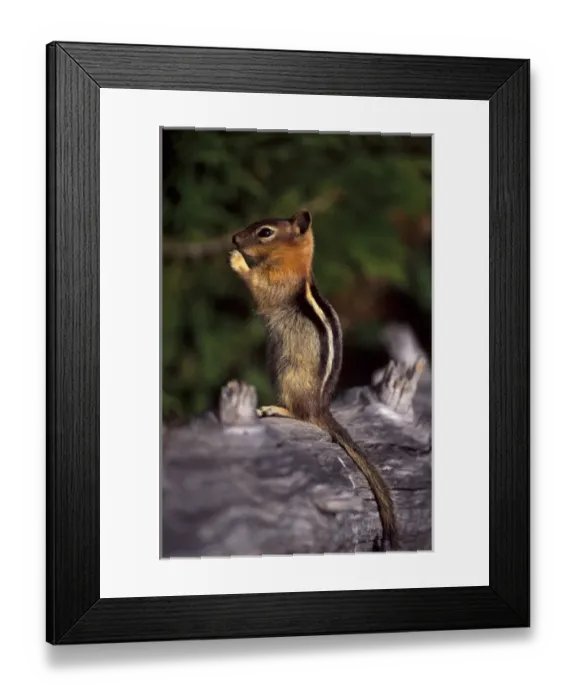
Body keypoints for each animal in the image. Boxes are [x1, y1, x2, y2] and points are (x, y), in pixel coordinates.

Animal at [228, 209, 399, 551]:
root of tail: (321, 407)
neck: (294, 262)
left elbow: (259, 288)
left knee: (301, 415)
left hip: (288, 377)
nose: (235, 238)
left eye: (265, 232)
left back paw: (276, 409)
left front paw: (237, 261)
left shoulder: (277, 283)